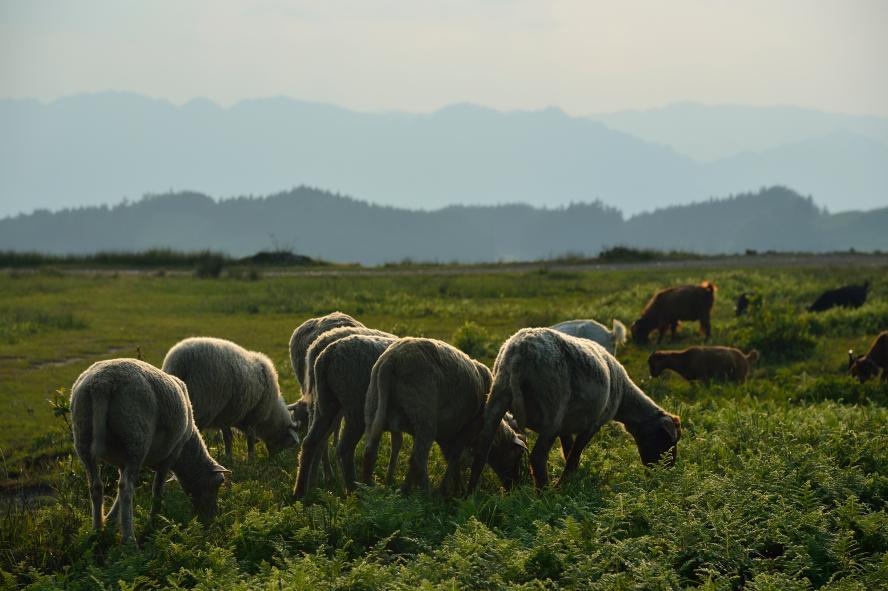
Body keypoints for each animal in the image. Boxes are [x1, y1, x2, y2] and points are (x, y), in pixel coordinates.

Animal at [71, 356, 229, 544]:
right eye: (217, 485)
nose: (209, 520)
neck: (186, 454)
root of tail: (103, 383)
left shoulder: (122, 462)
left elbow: (117, 495)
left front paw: (110, 520)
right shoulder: (170, 456)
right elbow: (157, 490)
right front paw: (153, 521)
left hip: (83, 434)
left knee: (96, 486)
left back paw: (96, 531)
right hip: (136, 437)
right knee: (126, 487)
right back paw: (129, 539)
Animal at [165, 338, 304, 458]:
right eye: (291, 442)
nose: (273, 458)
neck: (271, 415)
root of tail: (180, 360)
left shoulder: (225, 415)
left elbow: (228, 438)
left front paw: (229, 457)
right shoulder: (253, 416)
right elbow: (250, 438)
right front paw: (251, 458)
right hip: (203, 403)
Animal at [360, 338, 528, 494]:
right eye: (518, 455)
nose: (515, 485)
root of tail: (390, 361)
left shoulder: (446, 435)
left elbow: (451, 459)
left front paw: (453, 487)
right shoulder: (465, 430)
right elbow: (455, 458)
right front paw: (451, 490)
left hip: (373, 404)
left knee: (370, 451)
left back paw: (369, 490)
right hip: (424, 414)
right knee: (417, 458)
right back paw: (425, 494)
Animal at [468, 328, 684, 490]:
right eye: (669, 441)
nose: (666, 473)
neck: (624, 396)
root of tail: (519, 354)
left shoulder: (566, 427)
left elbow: (568, 452)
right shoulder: (593, 424)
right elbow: (573, 456)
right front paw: (565, 485)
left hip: (498, 397)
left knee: (481, 451)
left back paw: (469, 496)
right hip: (553, 409)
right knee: (538, 457)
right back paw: (545, 494)